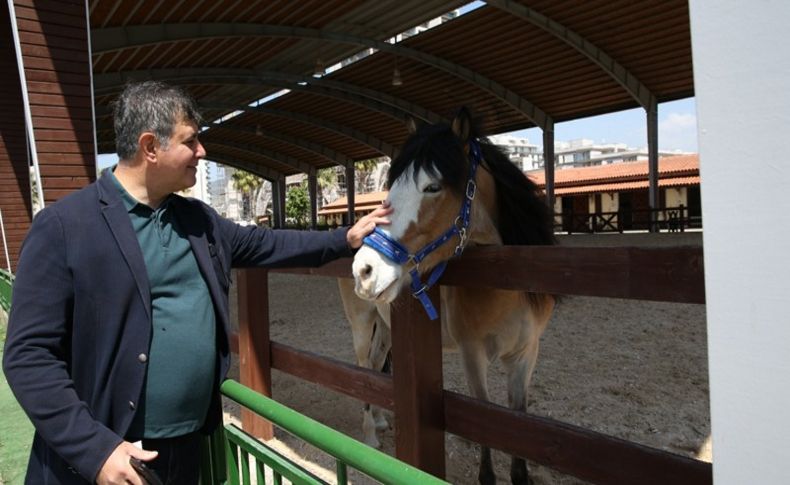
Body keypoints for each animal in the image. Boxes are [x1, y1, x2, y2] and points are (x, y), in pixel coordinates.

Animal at [340, 109, 556, 484]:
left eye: (432, 187)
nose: (364, 270)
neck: (505, 289)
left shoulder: (526, 355)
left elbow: (516, 421)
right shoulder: (473, 355)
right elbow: (484, 421)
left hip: (385, 327)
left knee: (379, 365)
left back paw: (381, 420)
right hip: (362, 325)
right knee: (364, 367)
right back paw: (369, 434)